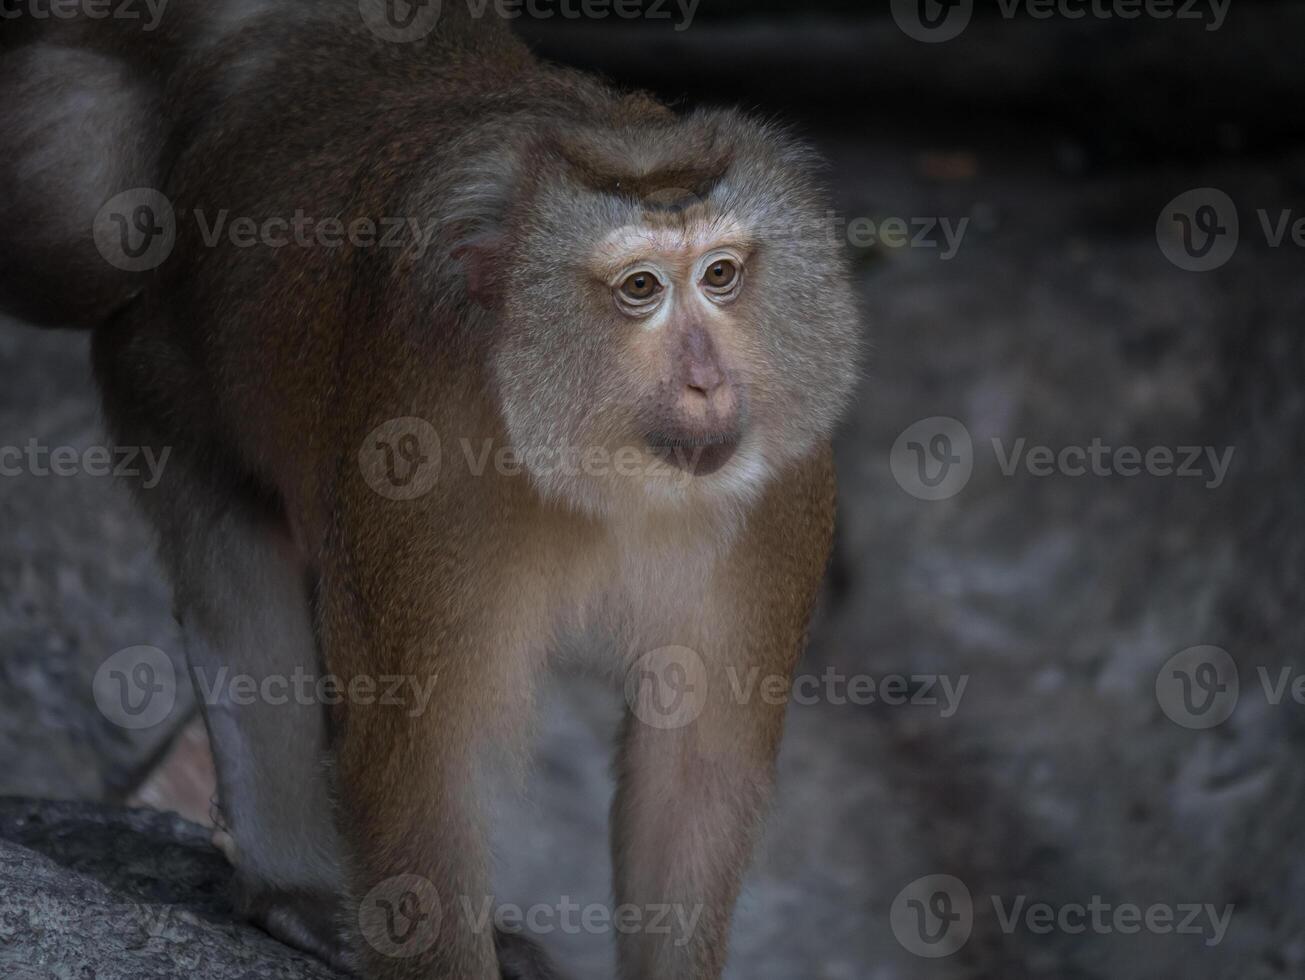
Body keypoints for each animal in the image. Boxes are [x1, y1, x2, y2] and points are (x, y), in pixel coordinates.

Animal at [0, 3, 861, 976]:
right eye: (640, 288)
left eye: (720, 275)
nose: (708, 382)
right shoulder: (420, 445)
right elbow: (421, 763)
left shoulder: (780, 482)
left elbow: (696, 773)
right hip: (150, 348)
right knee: (233, 552)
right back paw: (293, 891)